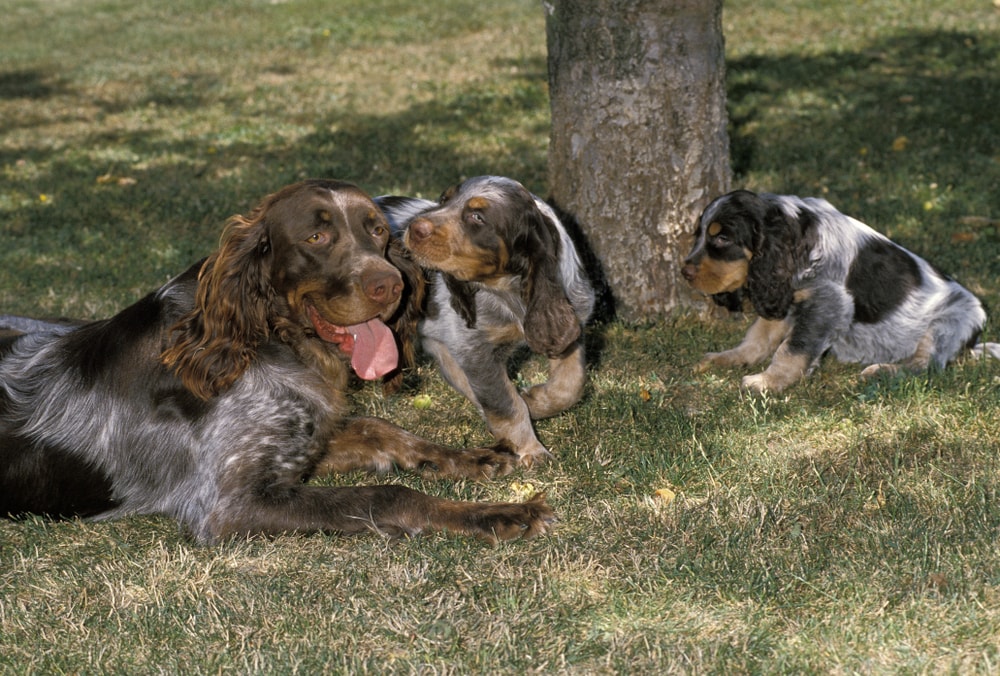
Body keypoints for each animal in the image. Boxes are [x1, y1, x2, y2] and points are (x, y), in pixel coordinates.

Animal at [376, 176, 592, 464]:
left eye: (477, 217)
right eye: (444, 200)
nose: (414, 228)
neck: (507, 289)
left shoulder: (569, 322)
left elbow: (572, 383)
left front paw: (536, 401)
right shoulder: (475, 352)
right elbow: (506, 405)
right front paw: (532, 449)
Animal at [680, 189, 992, 390]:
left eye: (722, 238)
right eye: (698, 235)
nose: (684, 272)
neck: (797, 239)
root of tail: (975, 339)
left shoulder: (826, 303)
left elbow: (792, 348)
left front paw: (766, 382)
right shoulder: (784, 297)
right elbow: (758, 336)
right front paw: (728, 359)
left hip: (946, 324)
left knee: (926, 365)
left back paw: (882, 370)